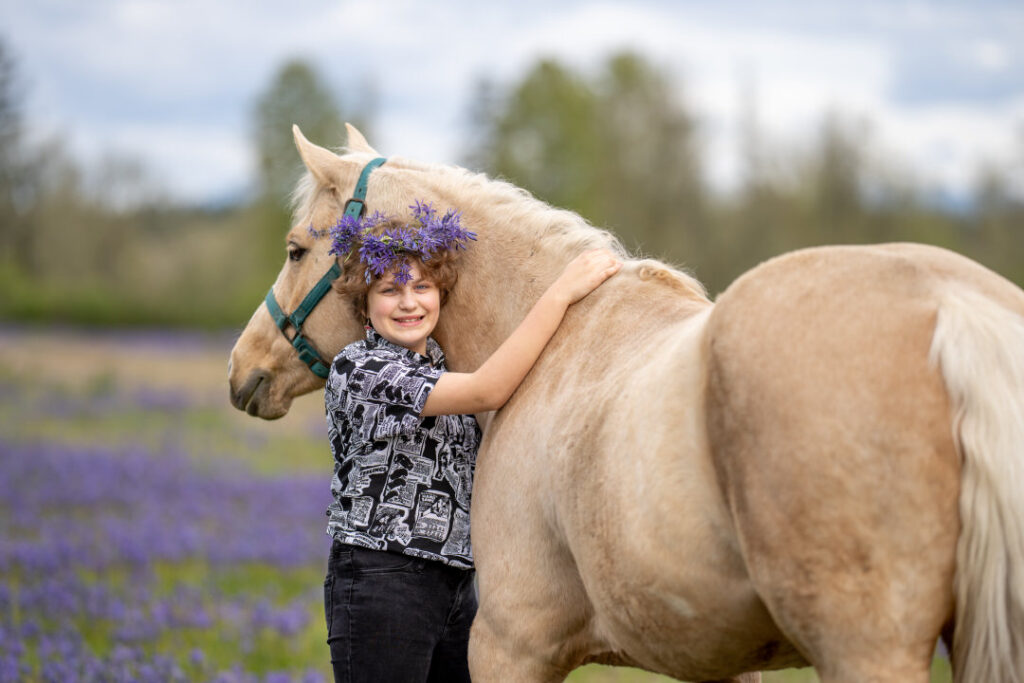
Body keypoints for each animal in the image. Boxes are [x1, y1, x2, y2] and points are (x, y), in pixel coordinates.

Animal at [230, 124, 1024, 683]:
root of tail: (951, 304)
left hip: (866, 646)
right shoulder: (723, 658)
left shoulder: (510, 642)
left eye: (296, 249)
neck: (555, 341)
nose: (242, 369)